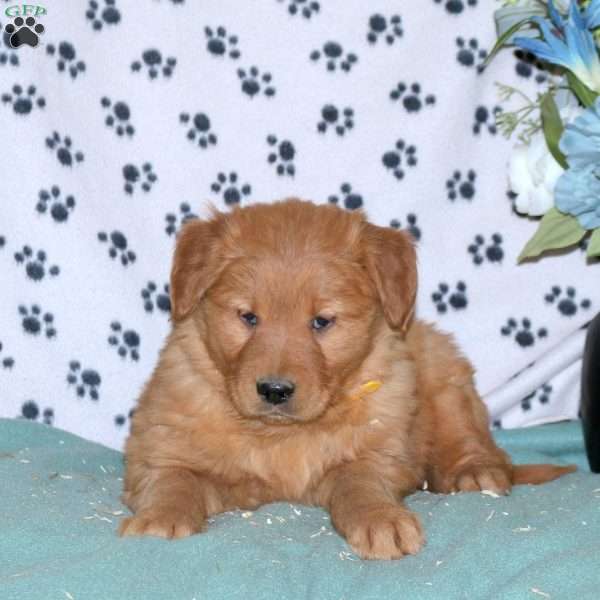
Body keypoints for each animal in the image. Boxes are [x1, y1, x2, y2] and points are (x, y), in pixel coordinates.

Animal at [118, 199, 576, 560]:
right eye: (247, 317)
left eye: (322, 321)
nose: (274, 390)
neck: (279, 435)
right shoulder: (159, 449)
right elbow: (173, 480)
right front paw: (159, 520)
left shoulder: (380, 453)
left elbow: (360, 483)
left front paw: (382, 521)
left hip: (443, 369)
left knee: (472, 438)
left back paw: (477, 473)